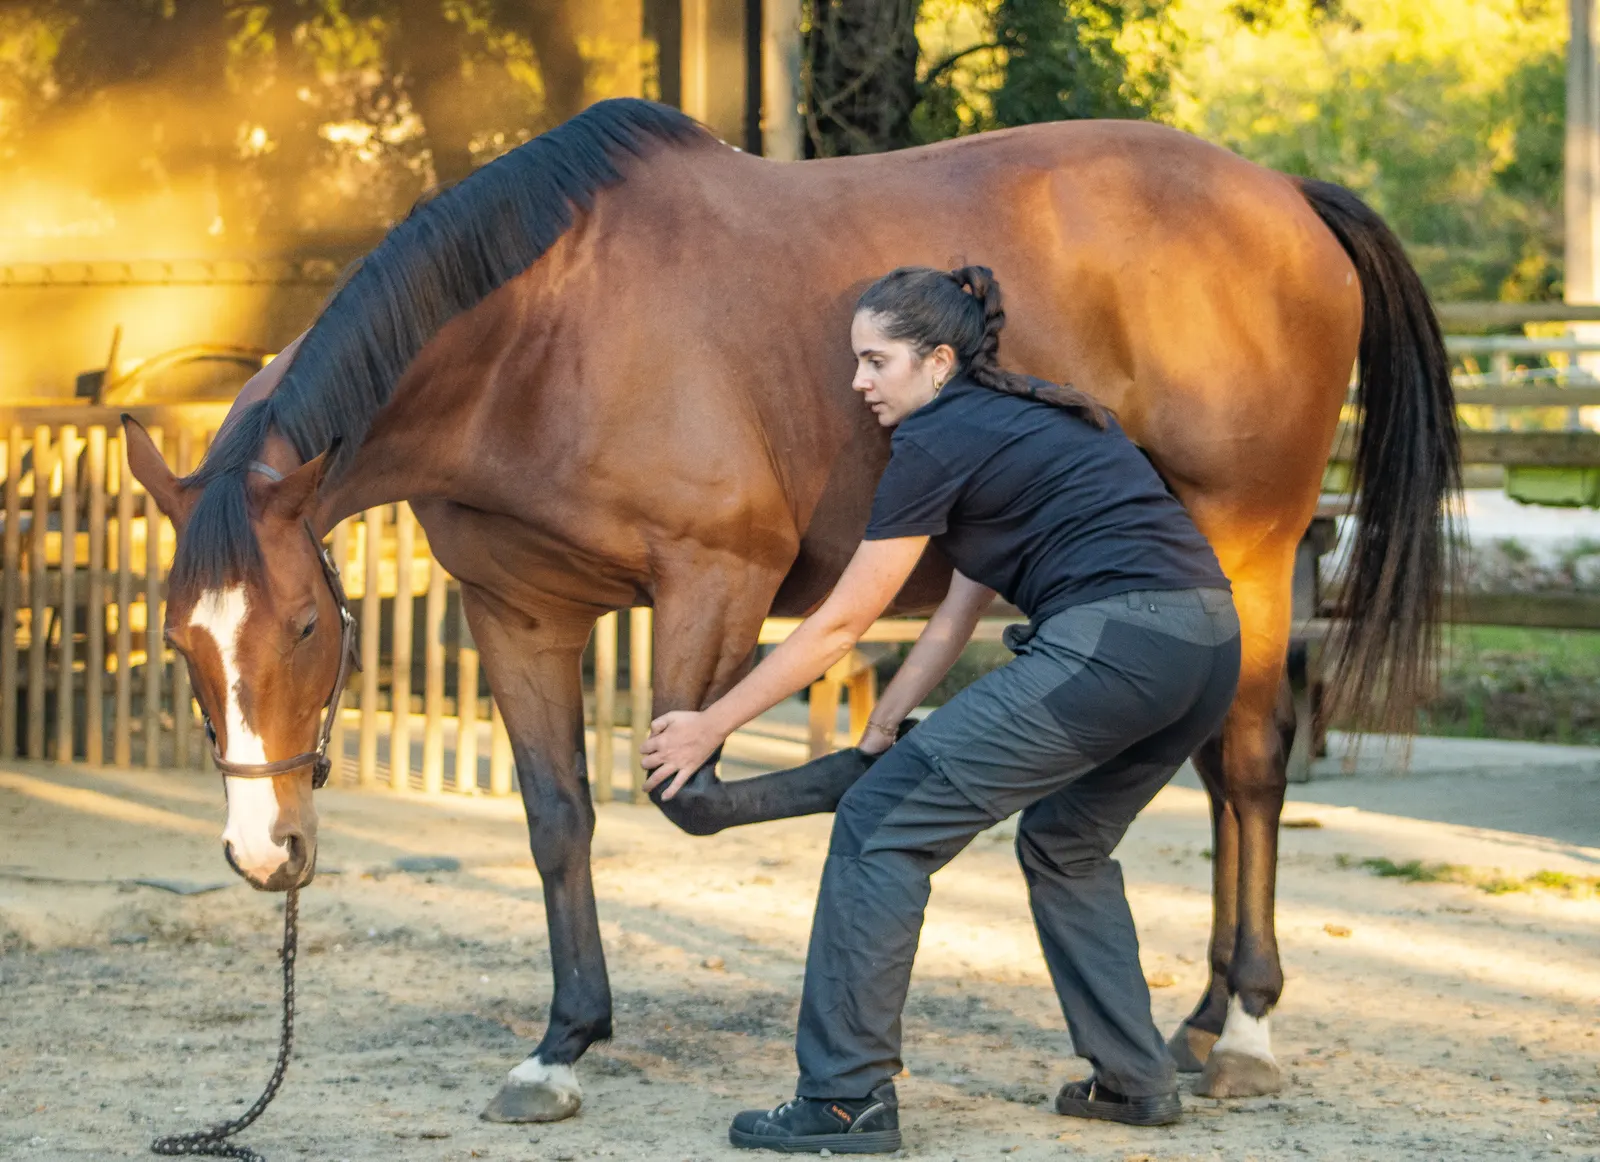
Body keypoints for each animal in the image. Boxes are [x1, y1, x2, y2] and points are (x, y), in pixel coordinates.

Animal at [123, 97, 1458, 1123]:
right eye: (183, 639)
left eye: (306, 626)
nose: (266, 852)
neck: (541, 335)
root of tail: (1283, 194)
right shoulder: (518, 611)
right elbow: (560, 819)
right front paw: (560, 1045)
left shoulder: (717, 577)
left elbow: (692, 790)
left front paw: (871, 760)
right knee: (1220, 765)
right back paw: (1200, 1019)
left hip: (1246, 543)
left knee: (1249, 764)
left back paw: (1247, 1031)